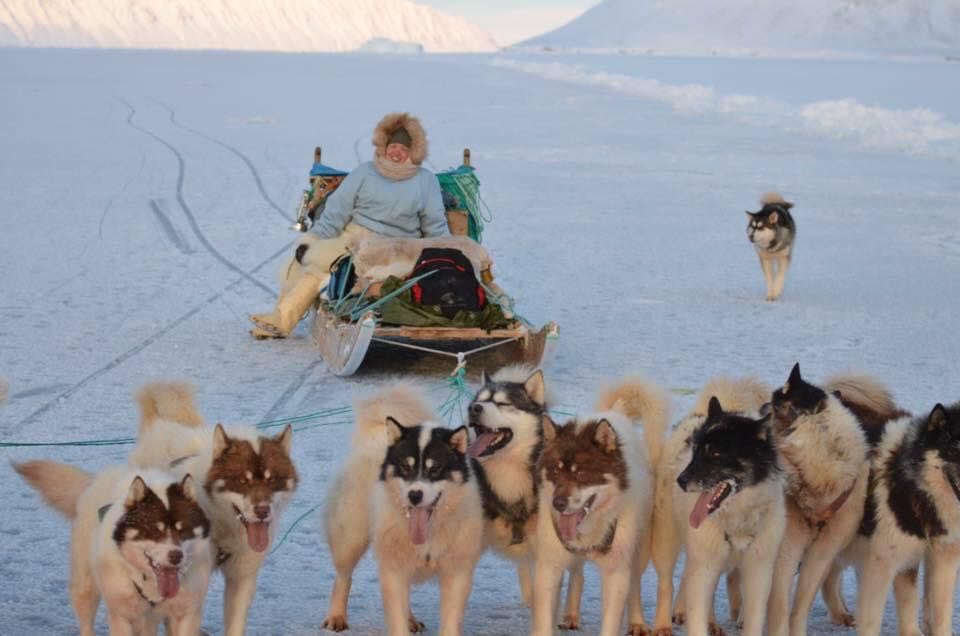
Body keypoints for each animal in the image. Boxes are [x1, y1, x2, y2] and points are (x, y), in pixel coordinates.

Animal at [14, 462, 212, 636]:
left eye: (183, 529)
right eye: (154, 530)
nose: (176, 556)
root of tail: (98, 479)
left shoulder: (186, 613)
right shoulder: (122, 614)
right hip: (86, 588)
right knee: (86, 622)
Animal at [128, 382, 296, 636]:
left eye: (272, 480)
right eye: (243, 481)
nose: (262, 511)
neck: (221, 526)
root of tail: (162, 426)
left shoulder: (242, 579)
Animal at [532, 378, 668, 636]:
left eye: (582, 474)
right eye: (554, 471)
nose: (558, 503)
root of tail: (616, 411)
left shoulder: (616, 573)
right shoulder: (549, 568)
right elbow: (544, 619)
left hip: (639, 549)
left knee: (634, 584)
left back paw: (637, 621)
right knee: (577, 573)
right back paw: (571, 614)